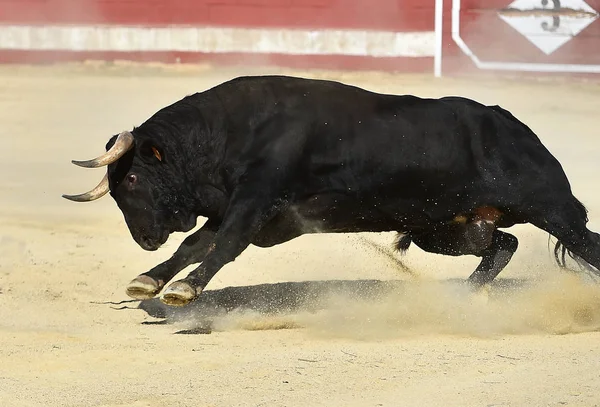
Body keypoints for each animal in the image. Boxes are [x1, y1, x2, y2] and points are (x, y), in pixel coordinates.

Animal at [63, 75, 596, 308]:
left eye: (132, 178)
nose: (145, 238)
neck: (229, 133)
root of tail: (515, 127)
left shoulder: (256, 200)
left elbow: (223, 244)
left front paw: (183, 289)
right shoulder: (239, 207)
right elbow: (196, 243)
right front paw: (149, 279)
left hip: (554, 209)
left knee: (584, 244)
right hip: (444, 228)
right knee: (503, 242)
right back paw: (464, 297)